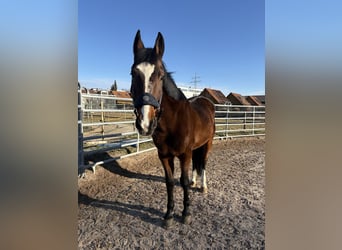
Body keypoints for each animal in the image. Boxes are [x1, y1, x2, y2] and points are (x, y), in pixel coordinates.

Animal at [130, 30, 215, 228]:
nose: (145, 124)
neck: (173, 123)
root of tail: (206, 102)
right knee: (196, 166)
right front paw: (168, 215)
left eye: (161, 75)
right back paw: (195, 182)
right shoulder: (164, 156)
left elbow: (182, 181)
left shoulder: (184, 154)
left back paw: (203, 186)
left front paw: (186, 214)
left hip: (207, 144)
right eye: (132, 73)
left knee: (203, 164)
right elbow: (170, 182)